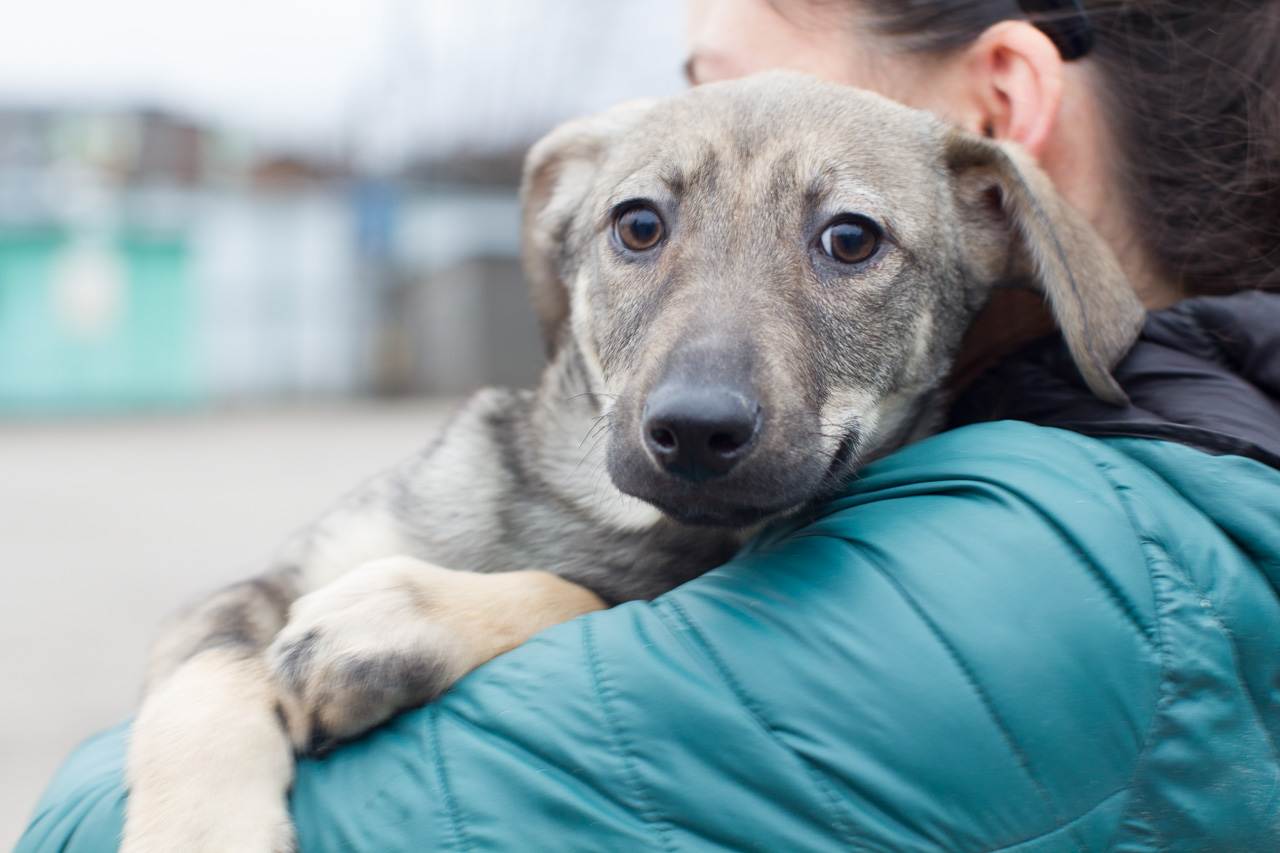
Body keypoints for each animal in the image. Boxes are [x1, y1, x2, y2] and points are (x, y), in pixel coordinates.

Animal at [120, 74, 1141, 850]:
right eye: (639, 225)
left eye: (852, 239)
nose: (694, 428)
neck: (585, 511)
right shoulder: (253, 587)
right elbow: (202, 687)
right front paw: (199, 831)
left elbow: (570, 591)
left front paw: (398, 617)